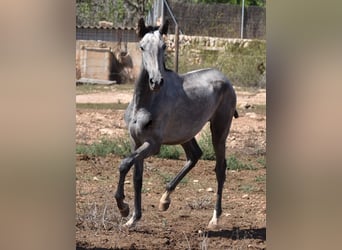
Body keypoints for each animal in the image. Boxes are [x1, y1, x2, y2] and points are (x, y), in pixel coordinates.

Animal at [115, 19, 238, 229]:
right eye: (142, 47)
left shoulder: (153, 145)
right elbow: (137, 177)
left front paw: (123, 207)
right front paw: (132, 218)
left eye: (164, 46)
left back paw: (214, 218)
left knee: (220, 169)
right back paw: (164, 200)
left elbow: (124, 164)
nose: (156, 81)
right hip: (185, 134)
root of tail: (226, 80)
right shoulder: (136, 141)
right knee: (194, 155)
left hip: (219, 131)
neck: (144, 103)